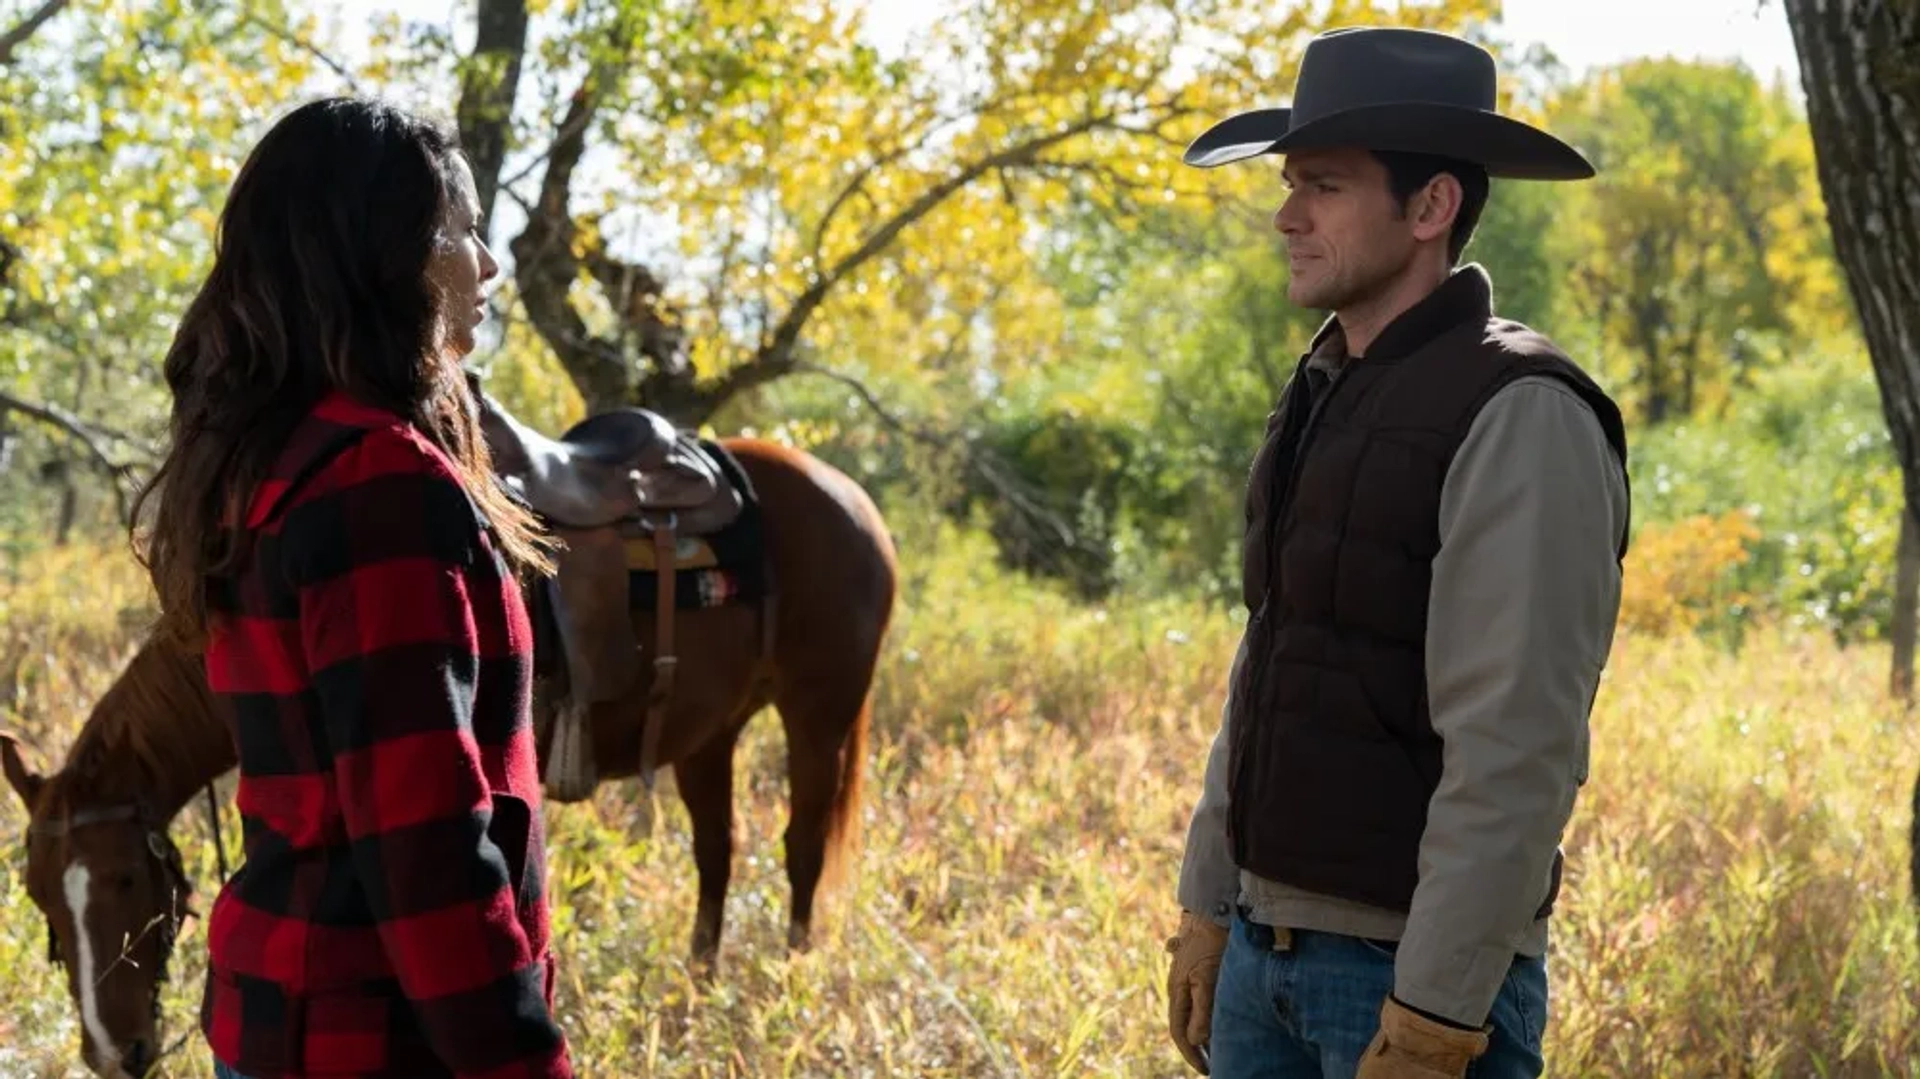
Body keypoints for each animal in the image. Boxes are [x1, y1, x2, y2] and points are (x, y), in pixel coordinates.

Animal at [0, 418, 894, 1067]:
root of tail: (846, 492)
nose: (113, 1053)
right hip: (713, 729)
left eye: (125, 879)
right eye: (40, 895)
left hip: (821, 711)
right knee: (718, 849)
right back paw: (700, 987)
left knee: (802, 847)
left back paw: (792, 980)